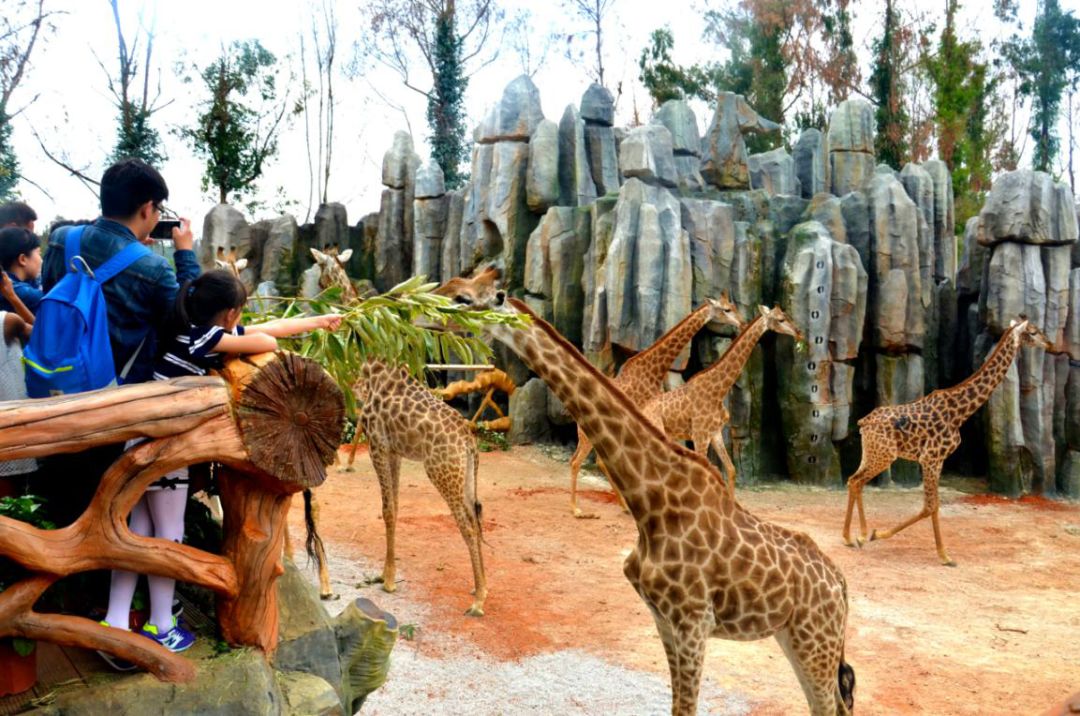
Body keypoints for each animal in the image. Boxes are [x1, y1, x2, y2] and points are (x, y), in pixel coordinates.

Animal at [354, 358, 486, 617]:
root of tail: (468, 441)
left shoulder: (377, 446)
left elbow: (387, 510)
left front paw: (389, 582)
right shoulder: (394, 452)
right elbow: (394, 509)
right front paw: (385, 575)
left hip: (441, 473)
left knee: (467, 527)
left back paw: (478, 602)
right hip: (466, 477)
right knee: (476, 519)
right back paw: (481, 588)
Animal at [565, 293, 743, 518]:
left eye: (733, 307)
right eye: (726, 309)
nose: (741, 323)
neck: (654, 370)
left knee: (597, 461)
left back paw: (624, 505)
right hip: (588, 435)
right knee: (577, 462)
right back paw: (577, 509)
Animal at [639, 306, 803, 498]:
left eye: (786, 315)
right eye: (780, 319)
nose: (799, 332)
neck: (718, 391)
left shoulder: (715, 433)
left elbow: (730, 470)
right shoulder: (700, 434)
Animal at [842, 319, 1054, 565]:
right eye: (1033, 332)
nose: (1049, 344)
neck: (960, 412)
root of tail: (863, 422)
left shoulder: (938, 460)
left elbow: (934, 505)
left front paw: (942, 554)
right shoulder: (930, 458)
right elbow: (930, 506)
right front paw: (943, 555)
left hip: (871, 453)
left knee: (853, 480)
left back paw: (851, 537)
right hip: (884, 456)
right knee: (857, 481)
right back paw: (861, 535)